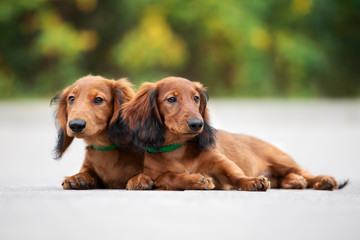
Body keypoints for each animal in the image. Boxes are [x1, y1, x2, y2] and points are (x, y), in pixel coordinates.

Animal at [116, 77, 346, 191]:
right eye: (171, 99)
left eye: (196, 98)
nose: (197, 124)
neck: (178, 150)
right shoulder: (157, 175)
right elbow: (168, 176)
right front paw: (195, 180)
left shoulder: (221, 162)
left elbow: (235, 174)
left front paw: (251, 181)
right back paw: (294, 182)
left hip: (280, 159)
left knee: (305, 172)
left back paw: (322, 180)